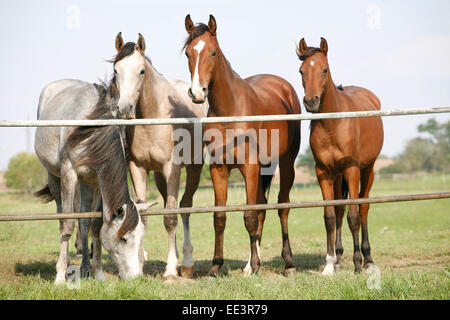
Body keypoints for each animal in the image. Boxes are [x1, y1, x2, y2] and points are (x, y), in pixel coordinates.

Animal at [33, 79, 153, 284]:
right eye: (123, 239)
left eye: (140, 237)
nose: (135, 277)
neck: (91, 133)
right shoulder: (69, 175)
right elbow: (67, 225)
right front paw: (59, 276)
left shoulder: (97, 182)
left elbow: (96, 227)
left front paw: (98, 273)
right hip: (55, 177)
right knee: (62, 214)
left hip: (86, 183)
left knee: (83, 221)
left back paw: (86, 267)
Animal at [110, 32, 206, 282]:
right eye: (116, 70)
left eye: (142, 70)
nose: (125, 108)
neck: (153, 117)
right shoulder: (138, 168)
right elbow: (143, 216)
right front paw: (140, 264)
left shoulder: (172, 167)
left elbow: (170, 218)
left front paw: (171, 271)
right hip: (161, 178)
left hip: (192, 168)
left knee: (184, 207)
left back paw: (187, 264)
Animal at [181, 14, 300, 276]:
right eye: (188, 53)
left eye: (213, 52)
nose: (197, 92)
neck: (231, 111)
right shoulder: (219, 168)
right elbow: (220, 217)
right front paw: (216, 266)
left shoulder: (250, 167)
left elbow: (249, 216)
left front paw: (254, 264)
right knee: (263, 207)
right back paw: (250, 264)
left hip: (286, 164)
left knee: (282, 207)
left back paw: (288, 263)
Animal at [298, 38, 384, 276]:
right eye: (301, 71)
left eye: (324, 69)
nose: (311, 102)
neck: (332, 125)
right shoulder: (324, 172)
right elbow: (329, 216)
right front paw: (329, 264)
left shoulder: (351, 169)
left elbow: (353, 216)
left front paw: (357, 263)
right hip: (337, 176)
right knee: (338, 210)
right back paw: (338, 259)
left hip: (367, 169)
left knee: (363, 208)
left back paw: (368, 259)